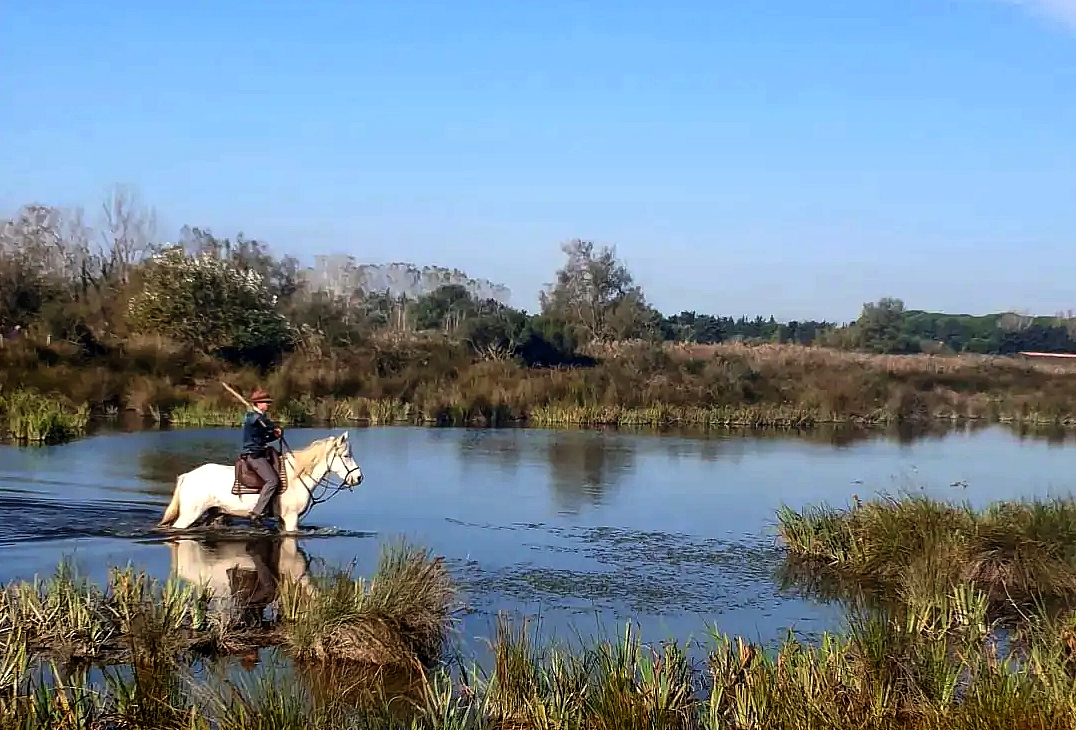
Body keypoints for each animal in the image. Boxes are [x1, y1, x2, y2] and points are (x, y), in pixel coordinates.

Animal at [156, 431, 364, 533]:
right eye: (346, 455)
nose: (359, 478)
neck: (297, 477)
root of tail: (187, 476)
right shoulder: (291, 519)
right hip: (189, 515)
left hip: (215, 514)